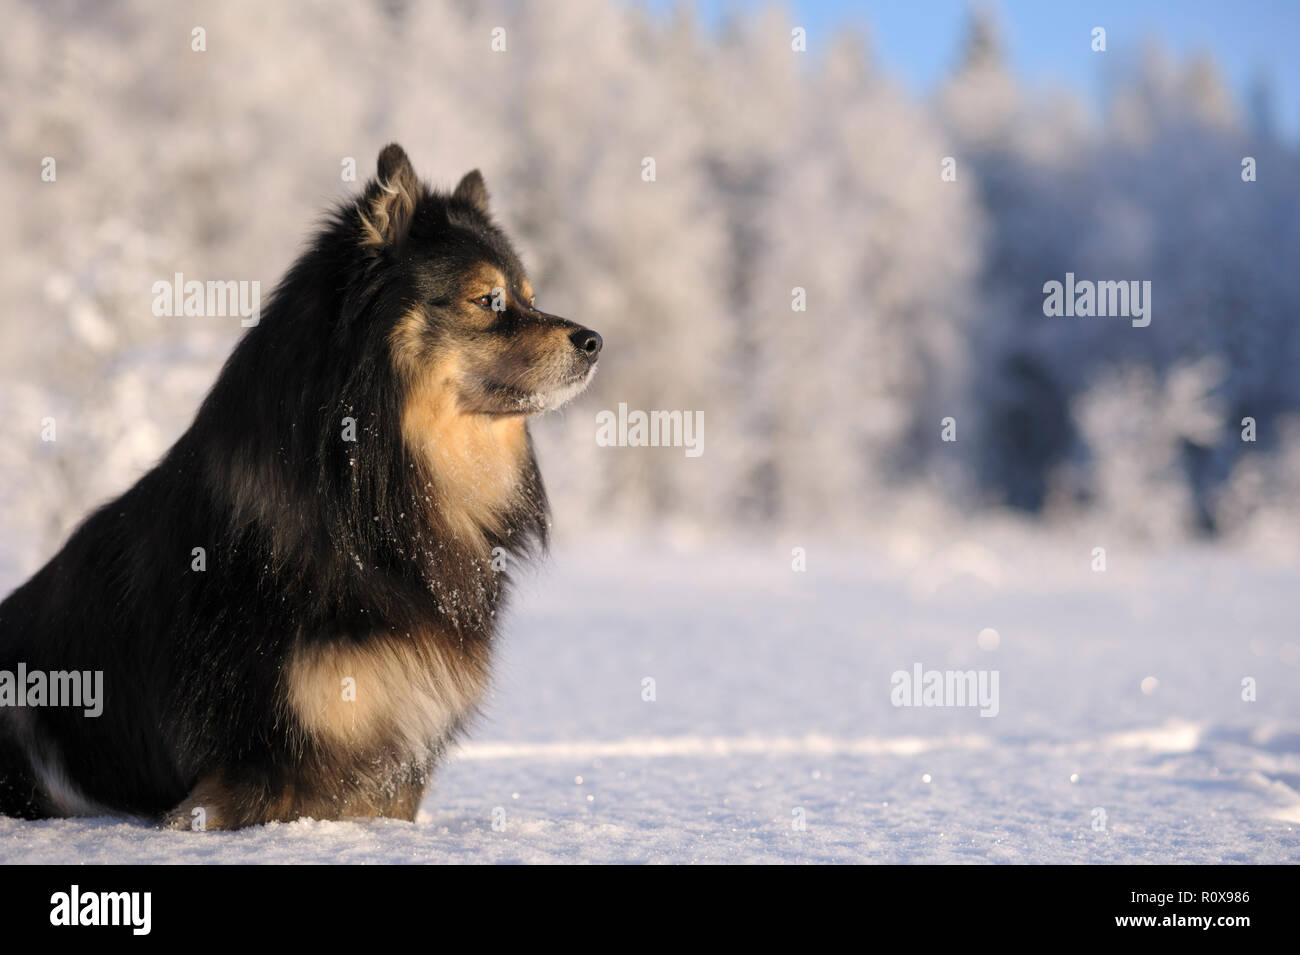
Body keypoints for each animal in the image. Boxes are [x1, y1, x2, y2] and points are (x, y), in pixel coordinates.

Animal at [0, 141, 598, 831]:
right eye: (491, 301)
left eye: (529, 296)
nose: (594, 341)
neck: (369, 501)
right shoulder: (251, 771)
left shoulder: (392, 768)